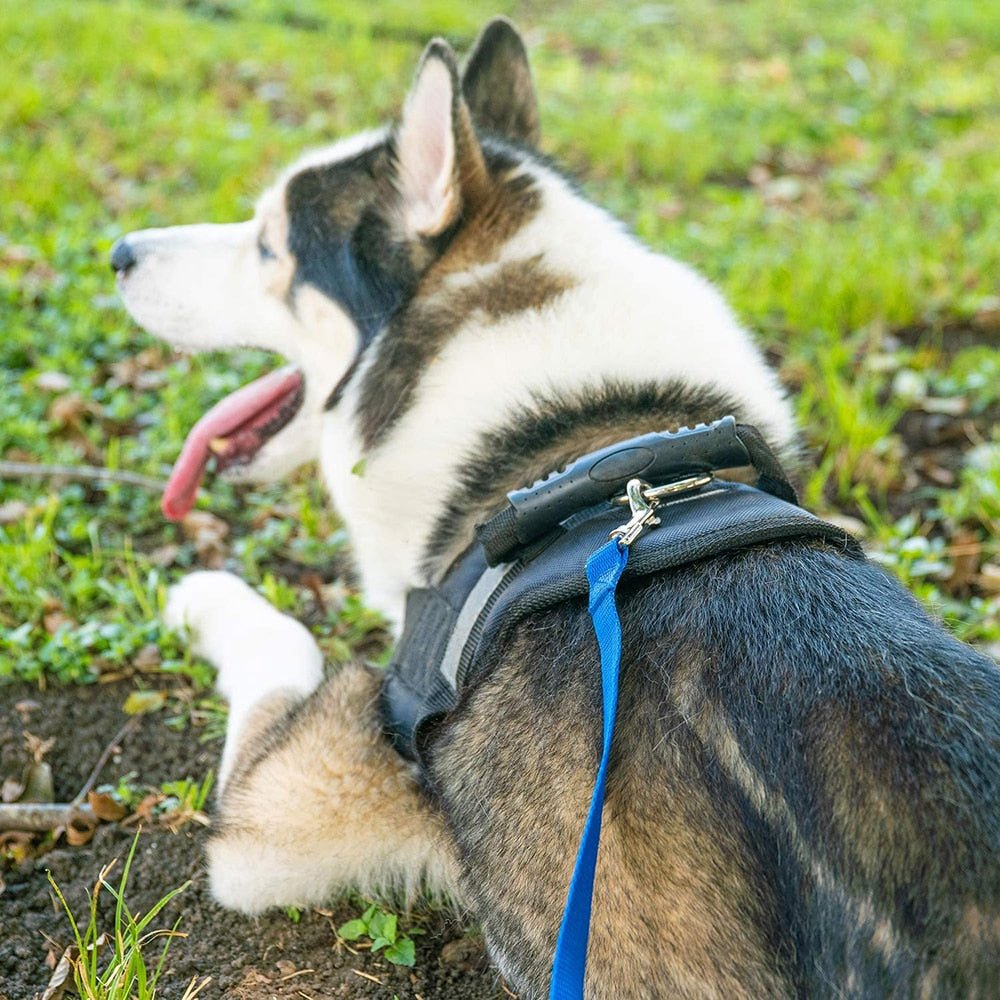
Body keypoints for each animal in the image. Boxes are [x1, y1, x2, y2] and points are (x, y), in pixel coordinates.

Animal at [111, 17, 1000, 1000]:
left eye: (268, 245)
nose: (118, 253)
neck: (584, 441)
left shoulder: (292, 804)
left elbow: (284, 645)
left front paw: (196, 594)